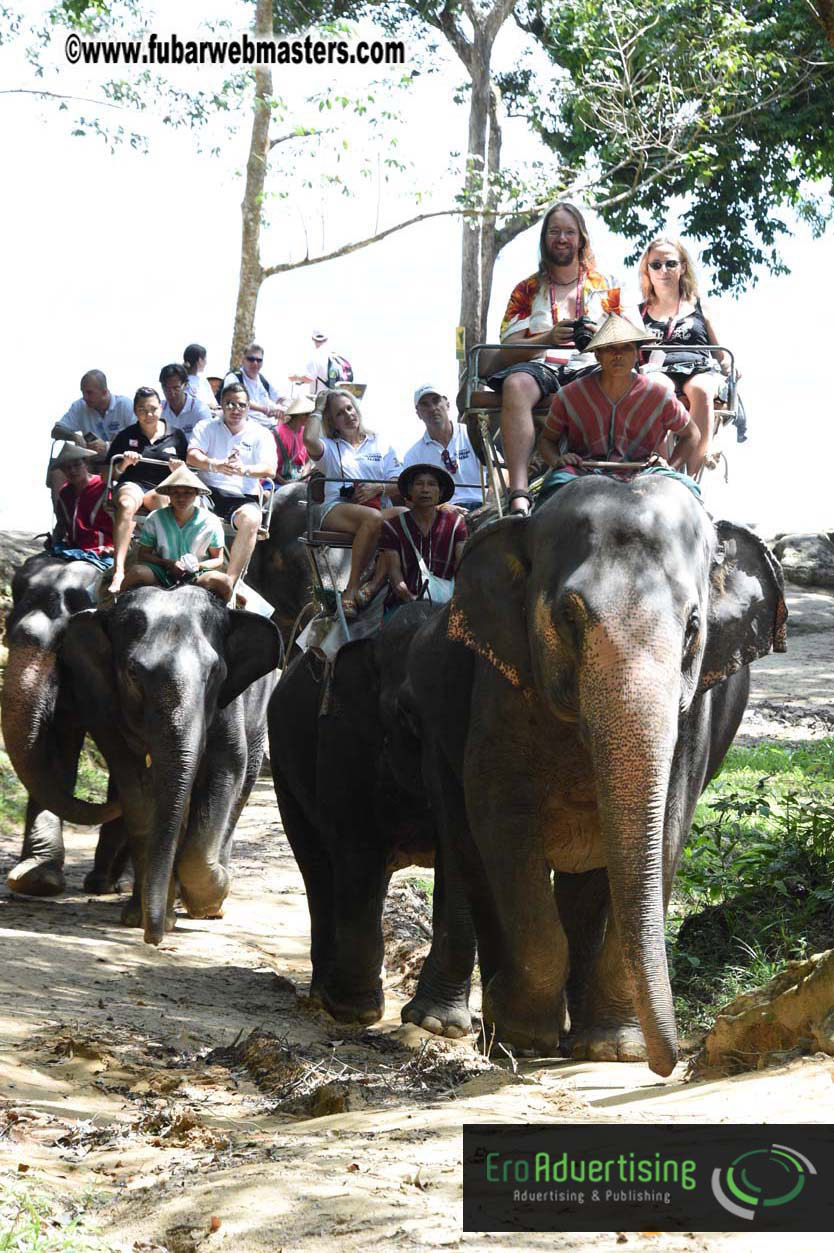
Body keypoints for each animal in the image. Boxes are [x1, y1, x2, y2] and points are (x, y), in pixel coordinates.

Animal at [11, 584, 283, 944]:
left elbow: (226, 770)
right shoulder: (108, 705)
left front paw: (209, 898)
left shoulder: (229, 704)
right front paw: (141, 919)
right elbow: (137, 792)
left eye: (216, 673)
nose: (154, 940)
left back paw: (213, 904)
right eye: (132, 673)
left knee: (243, 782)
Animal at [268, 601, 475, 1035]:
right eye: (409, 716)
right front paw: (356, 1013)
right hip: (282, 767)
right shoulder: (343, 737)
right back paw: (324, 995)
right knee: (319, 867)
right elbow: (358, 846)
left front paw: (438, 1026)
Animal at [399, 474, 787, 1076]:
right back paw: (451, 1024)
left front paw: (614, 1050)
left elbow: (667, 827)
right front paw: (521, 1037)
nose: (667, 1066)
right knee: (461, 844)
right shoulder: (499, 687)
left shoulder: (695, 713)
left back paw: (573, 1034)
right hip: (434, 727)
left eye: (693, 626)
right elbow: (501, 817)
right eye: (569, 617)